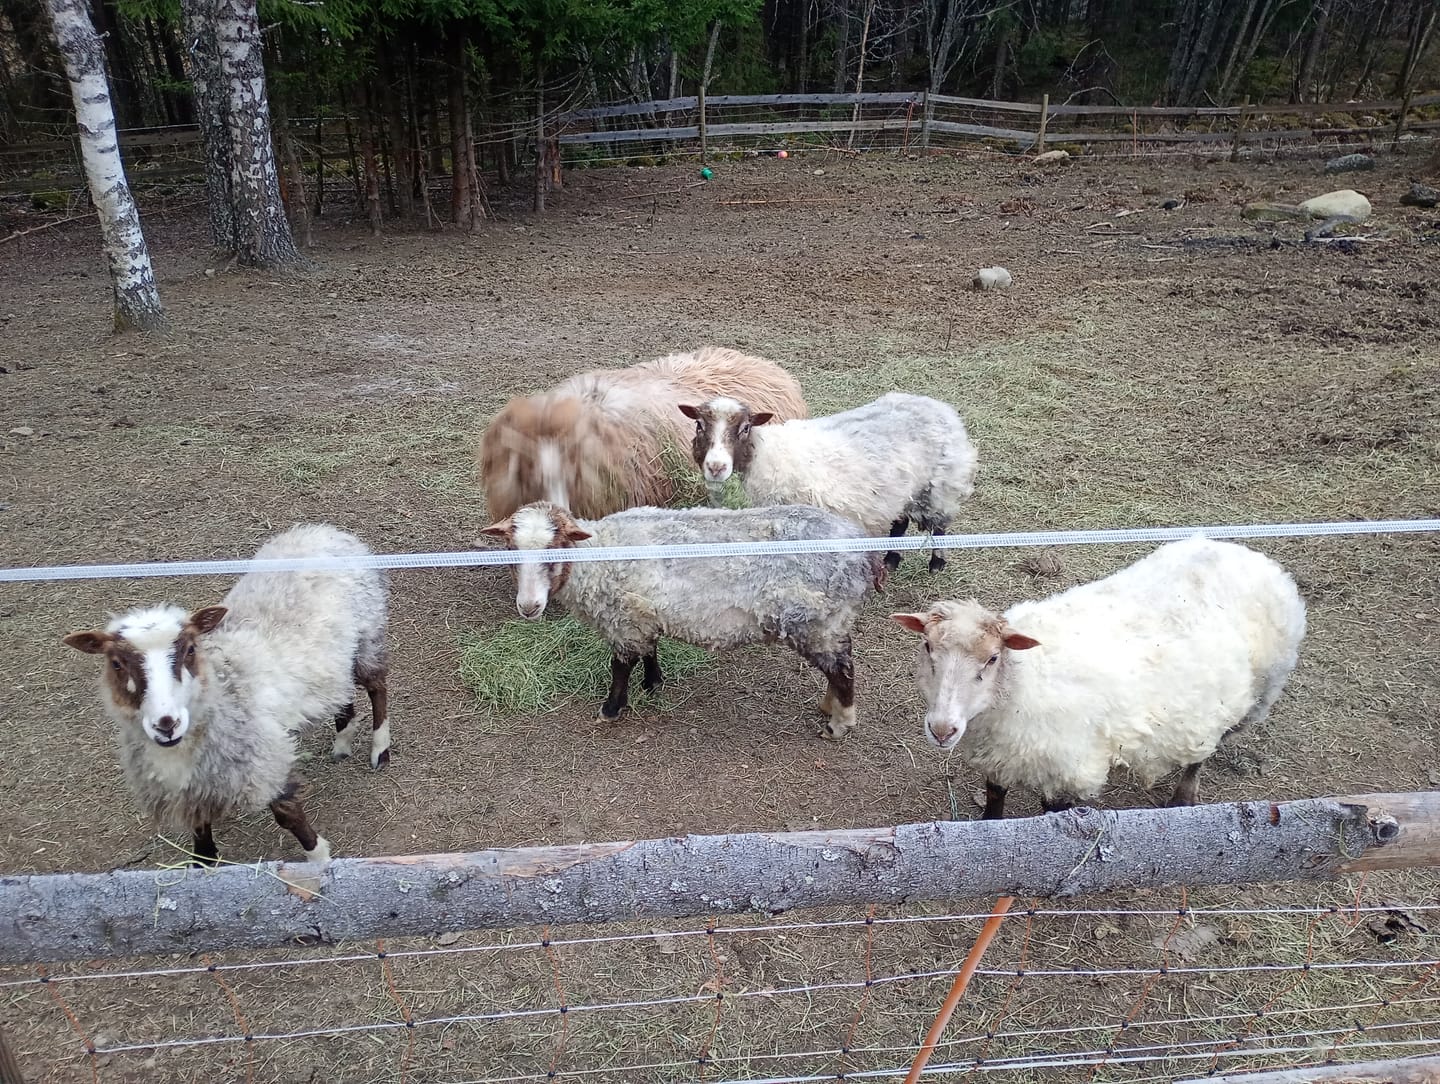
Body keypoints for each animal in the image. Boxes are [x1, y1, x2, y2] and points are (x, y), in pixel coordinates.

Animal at [62, 524, 390, 865]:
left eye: (190, 650)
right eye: (116, 663)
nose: (166, 724)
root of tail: (322, 531)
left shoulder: (263, 760)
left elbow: (287, 813)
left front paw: (318, 856)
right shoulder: (193, 790)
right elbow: (200, 832)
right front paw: (204, 862)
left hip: (368, 634)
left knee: (377, 687)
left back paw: (380, 749)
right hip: (334, 658)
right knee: (341, 691)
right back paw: (342, 740)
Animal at [481, 501, 884, 738]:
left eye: (555, 548)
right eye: (510, 549)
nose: (528, 606)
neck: (596, 556)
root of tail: (865, 552)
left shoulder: (624, 620)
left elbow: (620, 666)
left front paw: (611, 709)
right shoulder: (643, 616)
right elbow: (650, 650)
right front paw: (653, 683)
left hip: (817, 620)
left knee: (843, 670)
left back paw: (839, 723)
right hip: (829, 622)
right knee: (839, 667)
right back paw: (829, 707)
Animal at [678, 391, 977, 572]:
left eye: (745, 428)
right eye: (699, 426)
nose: (716, 467)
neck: (761, 455)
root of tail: (937, 405)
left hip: (938, 487)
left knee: (938, 526)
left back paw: (936, 562)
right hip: (903, 490)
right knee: (900, 523)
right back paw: (891, 559)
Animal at [891, 535, 1306, 818]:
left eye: (992, 658)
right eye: (927, 647)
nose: (942, 729)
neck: (1022, 681)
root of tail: (1254, 557)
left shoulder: (1068, 770)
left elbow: (1052, 815)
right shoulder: (998, 756)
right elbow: (995, 799)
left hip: (1253, 695)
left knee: (1202, 753)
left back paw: (1183, 796)